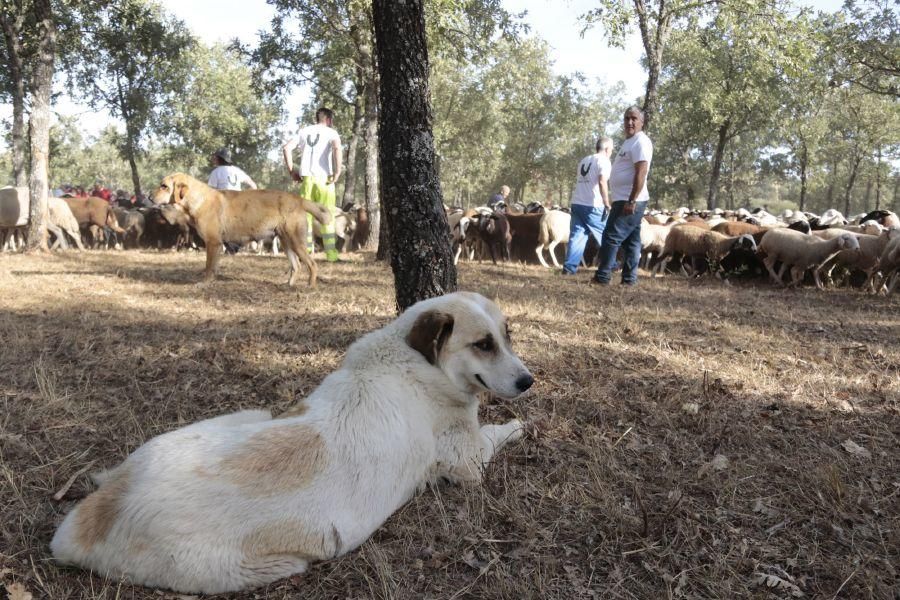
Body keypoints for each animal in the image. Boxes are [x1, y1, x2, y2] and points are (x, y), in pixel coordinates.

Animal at [51, 292, 536, 596]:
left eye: (507, 336)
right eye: (483, 344)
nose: (528, 381)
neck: (415, 364)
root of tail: (100, 514)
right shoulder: (469, 461)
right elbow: (498, 433)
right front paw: (519, 425)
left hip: (249, 416)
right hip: (269, 563)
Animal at [153, 172, 332, 288]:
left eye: (164, 186)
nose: (149, 197)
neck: (198, 200)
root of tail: (298, 199)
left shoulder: (213, 243)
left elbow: (208, 267)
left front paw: (204, 284)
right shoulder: (217, 246)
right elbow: (213, 267)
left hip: (296, 242)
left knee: (312, 264)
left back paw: (310, 286)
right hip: (286, 243)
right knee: (297, 266)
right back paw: (288, 284)